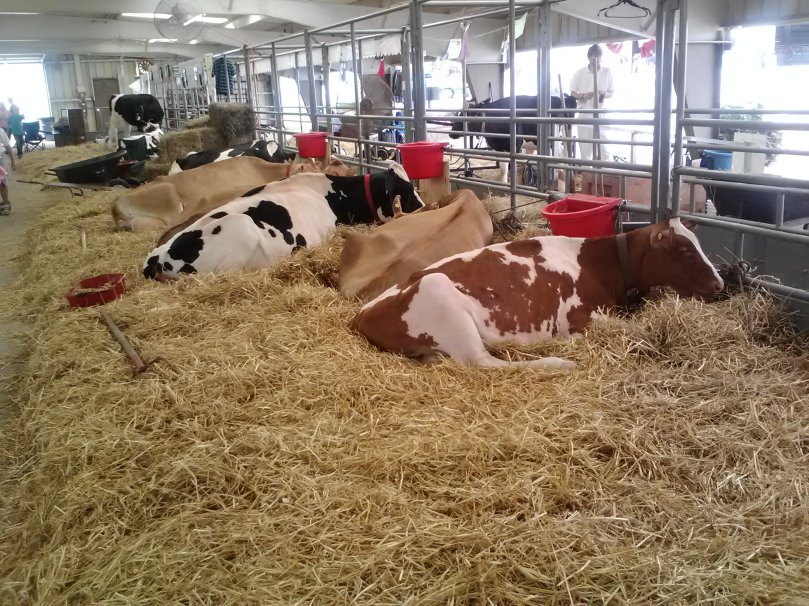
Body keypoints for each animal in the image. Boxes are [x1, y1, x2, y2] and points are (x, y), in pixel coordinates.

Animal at [352, 217, 724, 369]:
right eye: (685, 251)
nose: (720, 284)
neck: (598, 264)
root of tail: (361, 313)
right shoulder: (580, 318)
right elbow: (630, 329)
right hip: (440, 294)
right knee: (484, 363)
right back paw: (559, 363)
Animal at [449, 94, 577, 182]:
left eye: (465, 115)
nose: (451, 133)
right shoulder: (499, 148)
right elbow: (503, 168)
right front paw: (504, 183)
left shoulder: (515, 145)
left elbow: (513, 167)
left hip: (561, 140)